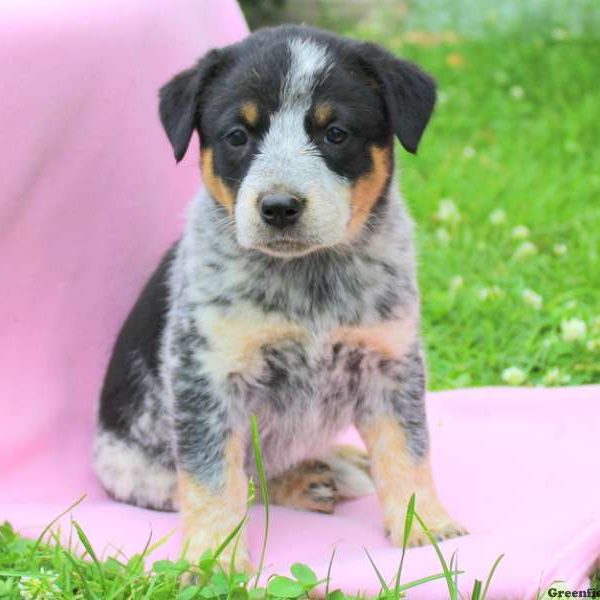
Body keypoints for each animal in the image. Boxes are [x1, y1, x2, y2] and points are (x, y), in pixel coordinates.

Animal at [95, 23, 468, 568]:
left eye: (336, 133)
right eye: (238, 135)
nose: (278, 206)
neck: (309, 280)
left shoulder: (390, 361)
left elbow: (407, 448)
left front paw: (427, 526)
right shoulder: (206, 375)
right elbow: (214, 478)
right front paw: (212, 560)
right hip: (140, 472)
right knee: (248, 483)